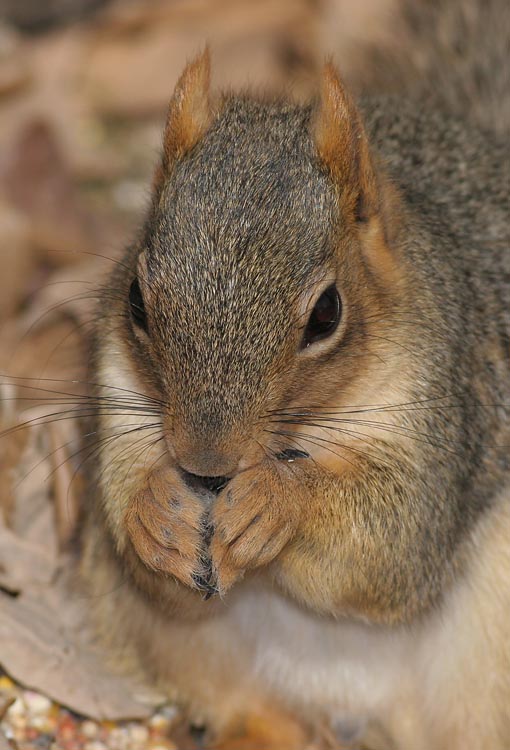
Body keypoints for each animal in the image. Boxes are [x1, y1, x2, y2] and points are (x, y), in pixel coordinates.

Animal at [79, 1, 510, 748]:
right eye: (135, 298)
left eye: (327, 313)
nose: (204, 464)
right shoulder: (121, 391)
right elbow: (130, 508)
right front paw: (154, 512)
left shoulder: (450, 416)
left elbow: (393, 545)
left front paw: (279, 502)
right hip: (175, 642)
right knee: (245, 701)